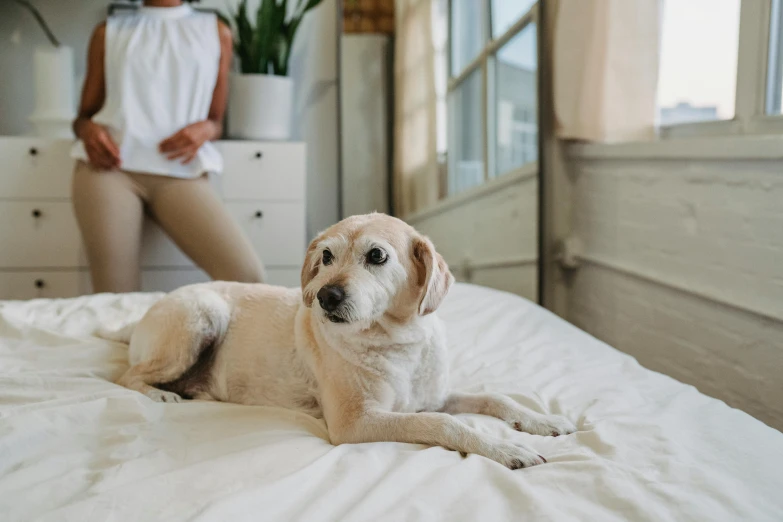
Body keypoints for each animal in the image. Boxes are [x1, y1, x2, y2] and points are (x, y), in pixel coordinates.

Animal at [113, 211, 576, 468]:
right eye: (326, 256)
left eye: (377, 255)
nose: (324, 296)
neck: (399, 343)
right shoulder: (356, 423)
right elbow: (443, 423)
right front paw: (505, 449)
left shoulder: (433, 395)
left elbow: (495, 398)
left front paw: (541, 421)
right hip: (201, 317)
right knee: (127, 377)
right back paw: (160, 394)